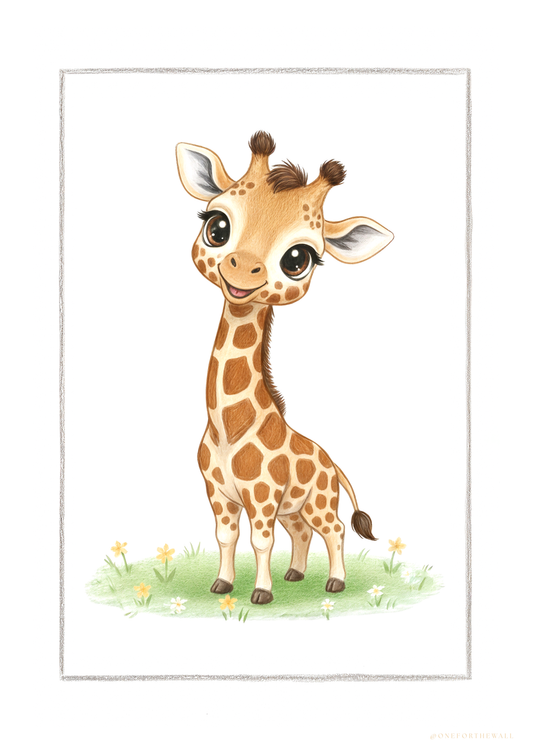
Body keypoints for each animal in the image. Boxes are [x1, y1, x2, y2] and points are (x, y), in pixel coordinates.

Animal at [175, 131, 394, 605]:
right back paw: (295, 574)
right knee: (301, 532)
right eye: (217, 226)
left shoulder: (261, 493)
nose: (242, 269)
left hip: (319, 500)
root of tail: (332, 463)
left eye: (298, 259)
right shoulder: (219, 492)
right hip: (295, 506)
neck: (227, 427)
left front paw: (260, 594)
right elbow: (226, 536)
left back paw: (334, 582)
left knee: (333, 530)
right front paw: (223, 585)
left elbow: (260, 540)